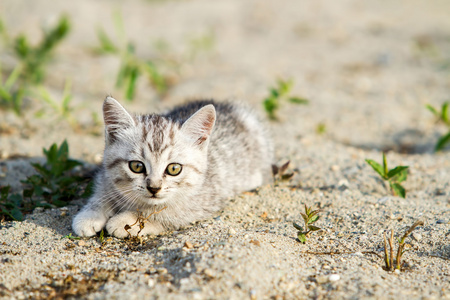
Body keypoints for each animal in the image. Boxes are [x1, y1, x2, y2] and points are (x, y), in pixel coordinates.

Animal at [72, 97, 272, 238]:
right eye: (136, 166)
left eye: (174, 169)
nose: (154, 188)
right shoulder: (105, 176)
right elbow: (102, 192)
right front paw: (90, 214)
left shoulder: (202, 202)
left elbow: (163, 212)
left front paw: (125, 220)